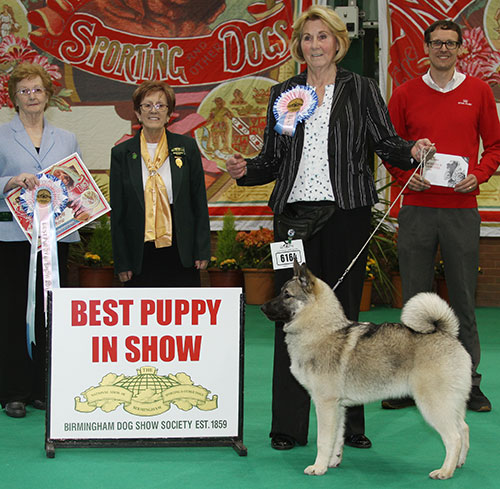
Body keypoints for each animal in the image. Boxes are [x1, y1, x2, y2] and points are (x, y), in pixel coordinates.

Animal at [262, 262, 472, 478]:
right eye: (281, 292)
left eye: (287, 295)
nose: (262, 307)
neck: (321, 331)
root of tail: (447, 334)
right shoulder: (338, 406)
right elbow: (336, 439)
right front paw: (332, 461)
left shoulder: (325, 403)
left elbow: (324, 440)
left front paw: (318, 467)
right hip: (452, 403)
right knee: (464, 429)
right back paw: (459, 463)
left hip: (433, 404)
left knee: (454, 437)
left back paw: (445, 471)